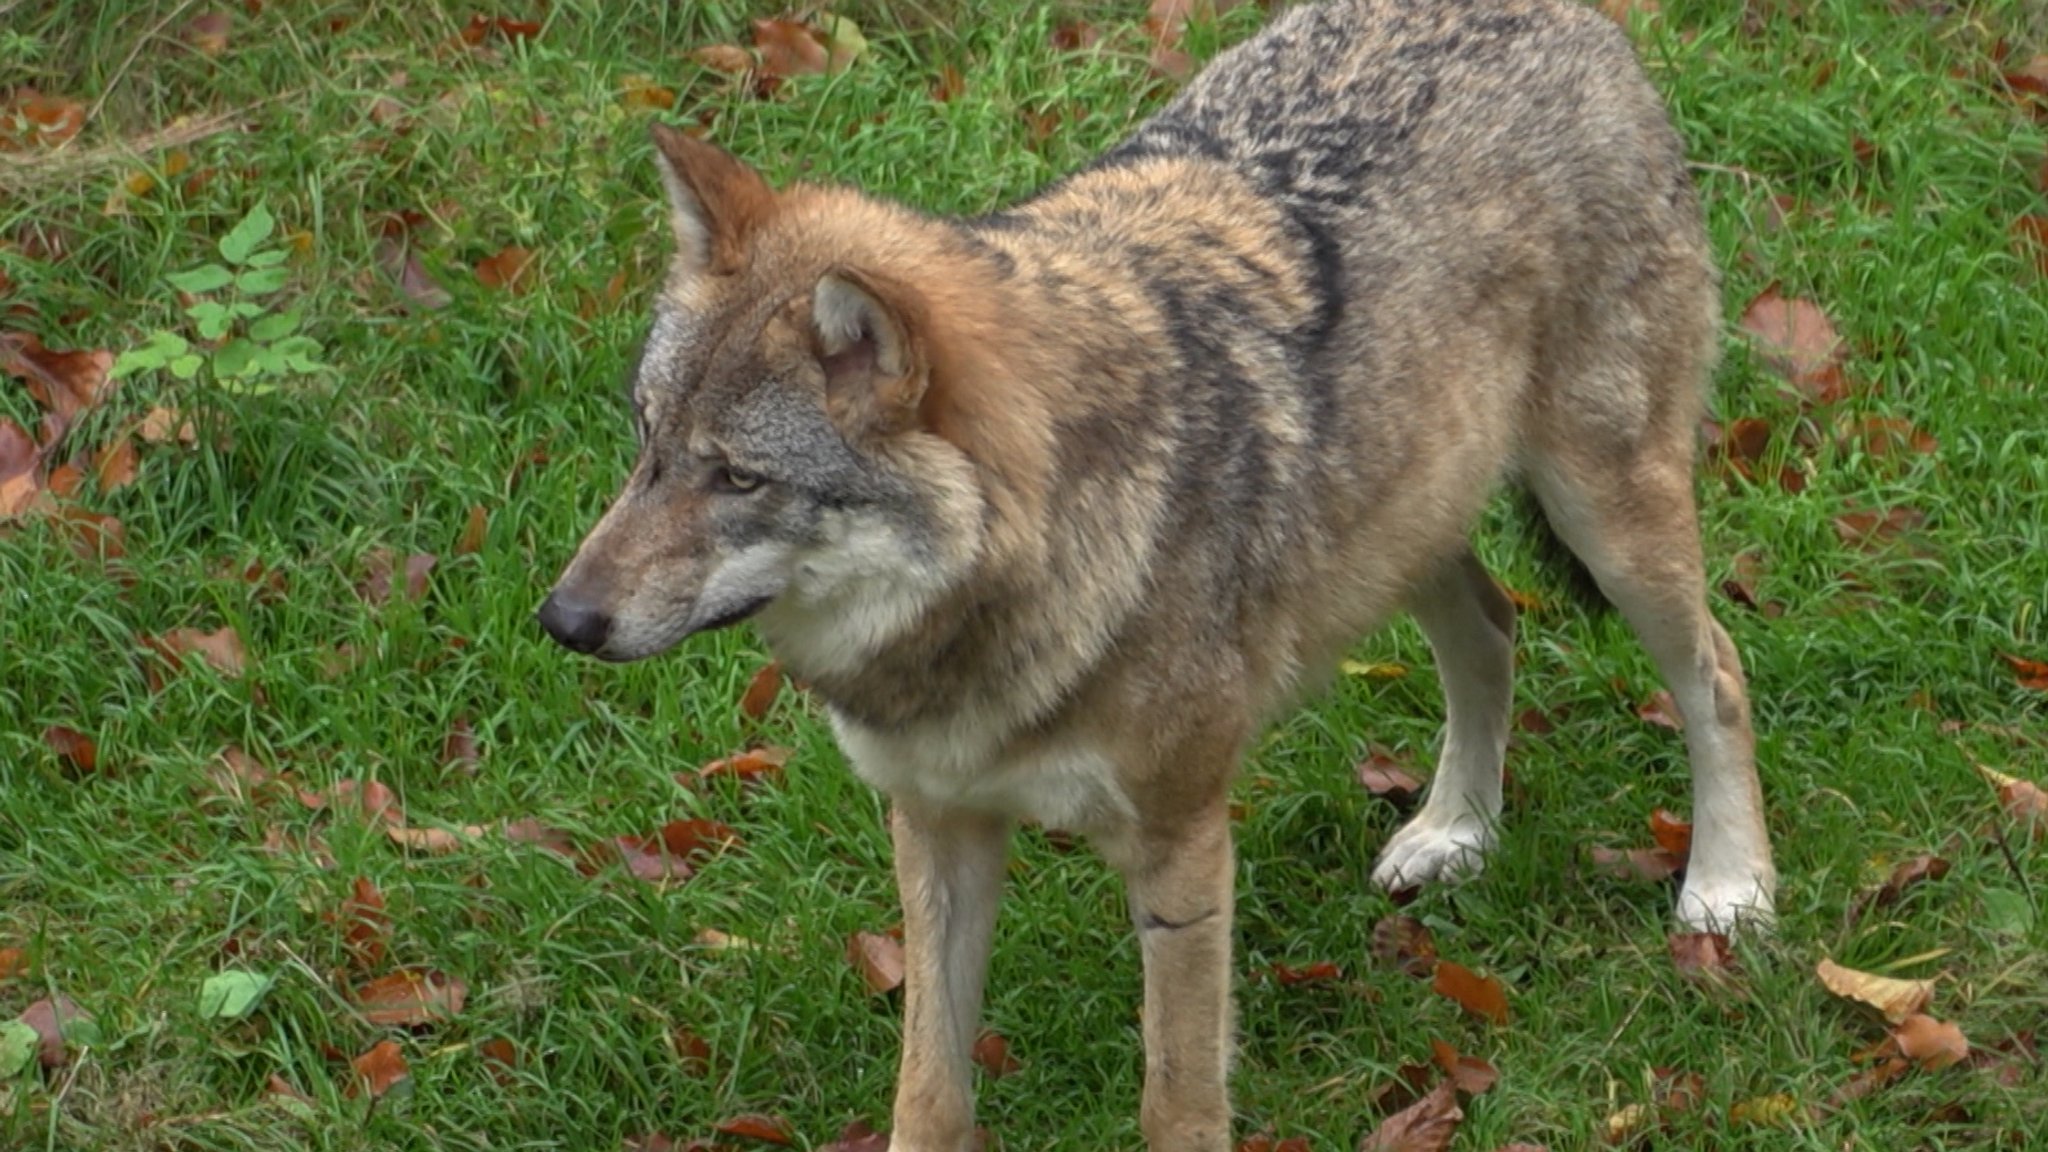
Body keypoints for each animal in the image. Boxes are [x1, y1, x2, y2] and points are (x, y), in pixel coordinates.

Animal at [540, 0, 1777, 1139]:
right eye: (647, 443)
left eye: (737, 477)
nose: (560, 620)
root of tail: (1563, 17)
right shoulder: (935, 828)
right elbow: (929, 1090)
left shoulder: (1183, 848)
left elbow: (1174, 1100)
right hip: (1400, 524)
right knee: (1490, 627)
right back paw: (1456, 831)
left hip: (1604, 514)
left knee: (1714, 668)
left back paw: (1727, 890)